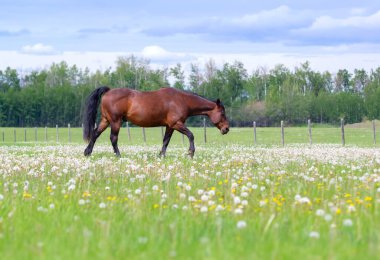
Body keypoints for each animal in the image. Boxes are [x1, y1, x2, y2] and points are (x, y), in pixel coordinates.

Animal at [83, 86, 230, 157]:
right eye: (222, 113)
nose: (227, 129)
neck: (182, 100)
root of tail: (108, 91)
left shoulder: (170, 126)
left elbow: (166, 141)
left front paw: (161, 155)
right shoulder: (177, 124)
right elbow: (191, 135)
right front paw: (191, 152)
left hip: (105, 120)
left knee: (95, 134)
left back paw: (87, 152)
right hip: (115, 122)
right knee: (113, 138)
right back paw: (118, 155)